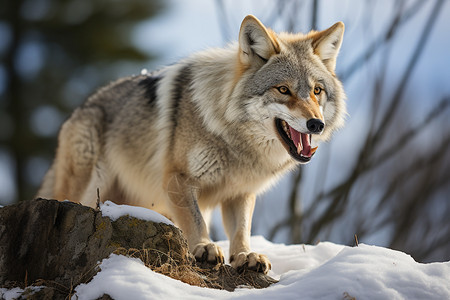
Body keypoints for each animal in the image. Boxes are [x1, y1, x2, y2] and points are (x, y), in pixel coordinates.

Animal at [39, 16, 348, 274]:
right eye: (283, 89)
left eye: (317, 91)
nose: (316, 124)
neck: (236, 142)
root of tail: (80, 109)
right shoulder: (178, 179)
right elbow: (194, 219)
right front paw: (204, 247)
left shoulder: (240, 193)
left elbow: (241, 230)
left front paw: (245, 256)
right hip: (87, 188)